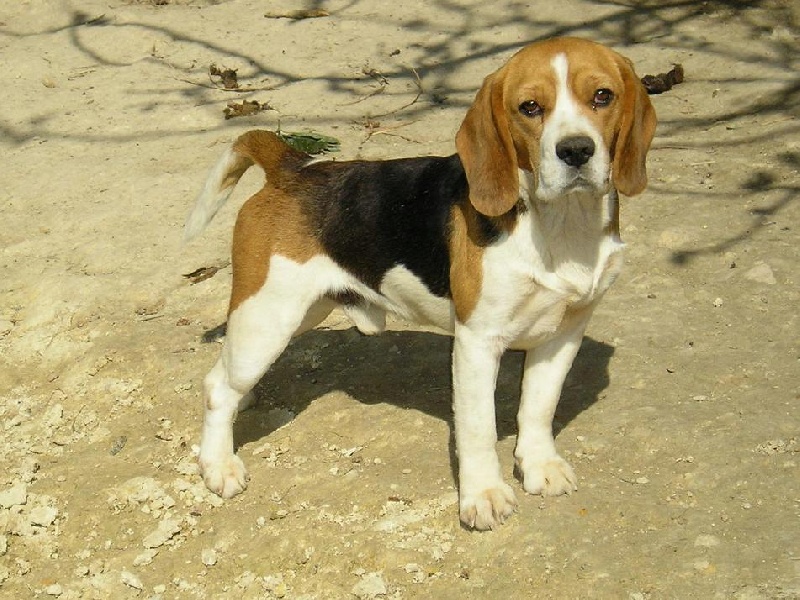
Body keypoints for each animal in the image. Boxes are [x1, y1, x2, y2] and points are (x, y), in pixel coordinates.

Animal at [186, 36, 656, 528]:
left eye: (602, 96)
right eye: (530, 107)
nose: (576, 150)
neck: (560, 225)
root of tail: (293, 167)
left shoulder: (564, 331)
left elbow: (539, 407)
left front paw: (539, 465)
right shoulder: (477, 342)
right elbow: (478, 429)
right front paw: (484, 495)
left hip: (296, 313)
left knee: (225, 375)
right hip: (268, 317)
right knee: (217, 388)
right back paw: (219, 464)